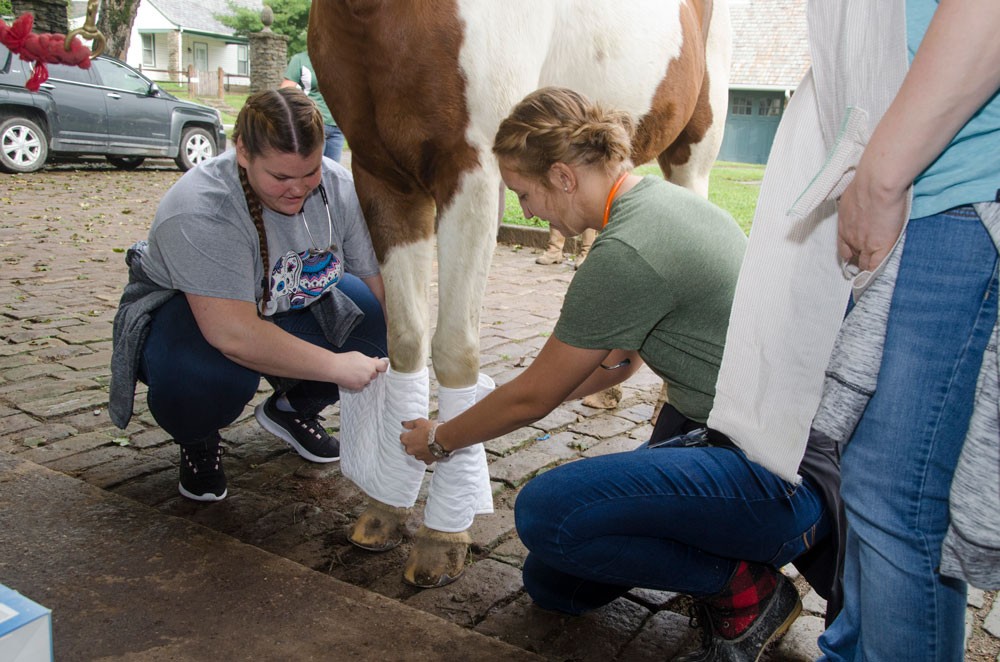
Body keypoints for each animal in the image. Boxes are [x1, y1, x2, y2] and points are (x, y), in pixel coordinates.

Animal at [308, 0, 732, 588]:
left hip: (691, 153)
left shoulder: (472, 171)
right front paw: (387, 507)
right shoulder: (380, 174)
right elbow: (407, 340)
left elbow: (454, 350)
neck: (373, 17)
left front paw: (442, 537)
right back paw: (609, 391)